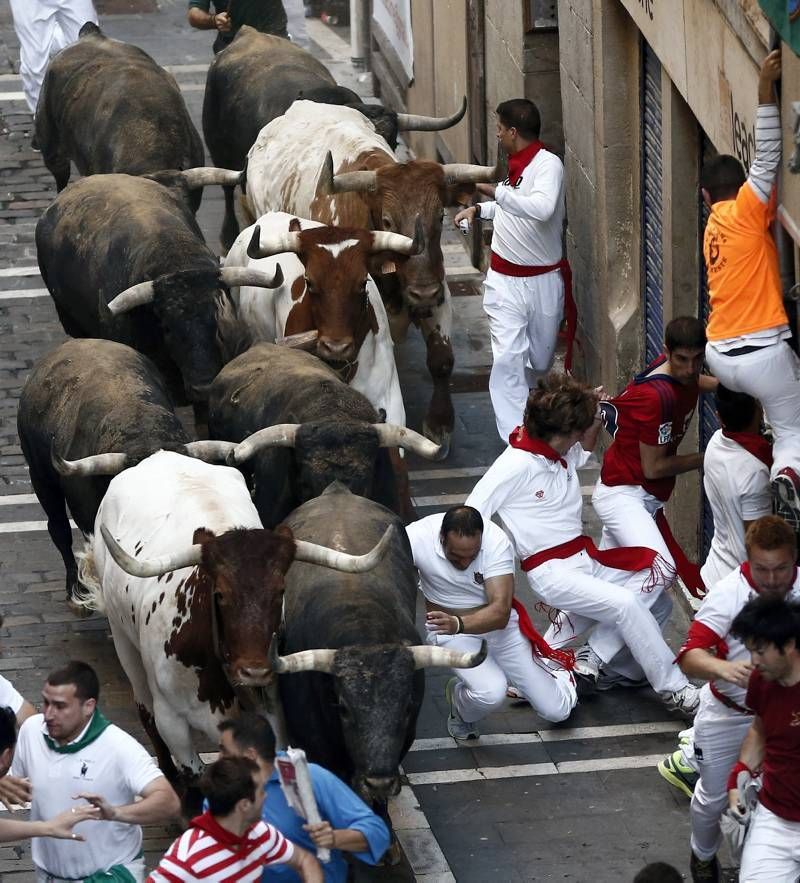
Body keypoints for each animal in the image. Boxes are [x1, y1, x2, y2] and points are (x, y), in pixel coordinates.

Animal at [244, 103, 500, 460]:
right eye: (389, 221)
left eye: (439, 217)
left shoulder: (439, 292)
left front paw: (440, 426)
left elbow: (441, 359)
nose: (424, 291)